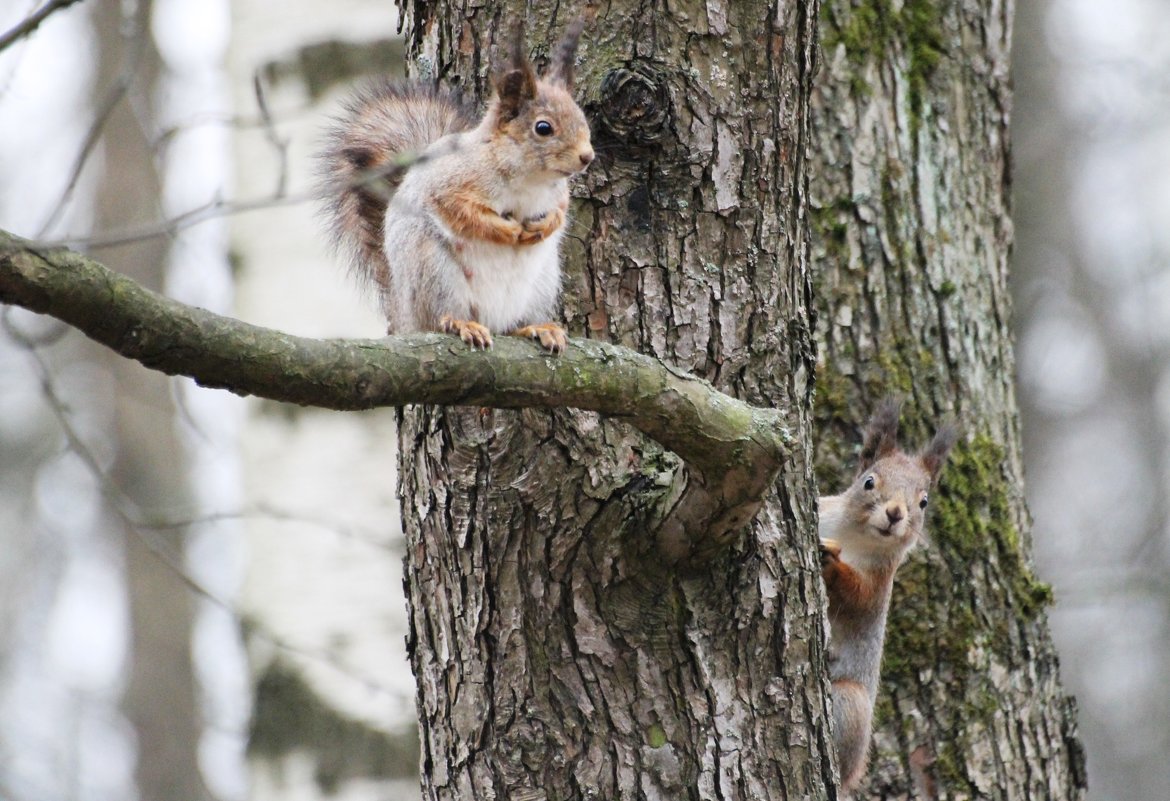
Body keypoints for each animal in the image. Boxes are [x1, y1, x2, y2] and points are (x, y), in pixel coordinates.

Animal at [318, 21, 594, 353]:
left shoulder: (559, 195)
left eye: (582, 118)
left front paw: (545, 226)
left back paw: (538, 327)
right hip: (434, 271)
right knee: (441, 316)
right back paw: (463, 324)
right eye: (543, 128)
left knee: (515, 325)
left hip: (541, 286)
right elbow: (464, 213)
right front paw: (507, 231)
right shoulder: (449, 185)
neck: (531, 180)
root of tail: (404, 315)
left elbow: (561, 212)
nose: (587, 157)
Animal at [819, 399, 954, 795]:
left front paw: (832, 564)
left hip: (850, 703)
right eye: (869, 482)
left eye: (923, 501)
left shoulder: (880, 583)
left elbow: (858, 596)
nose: (895, 513)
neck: (852, 535)